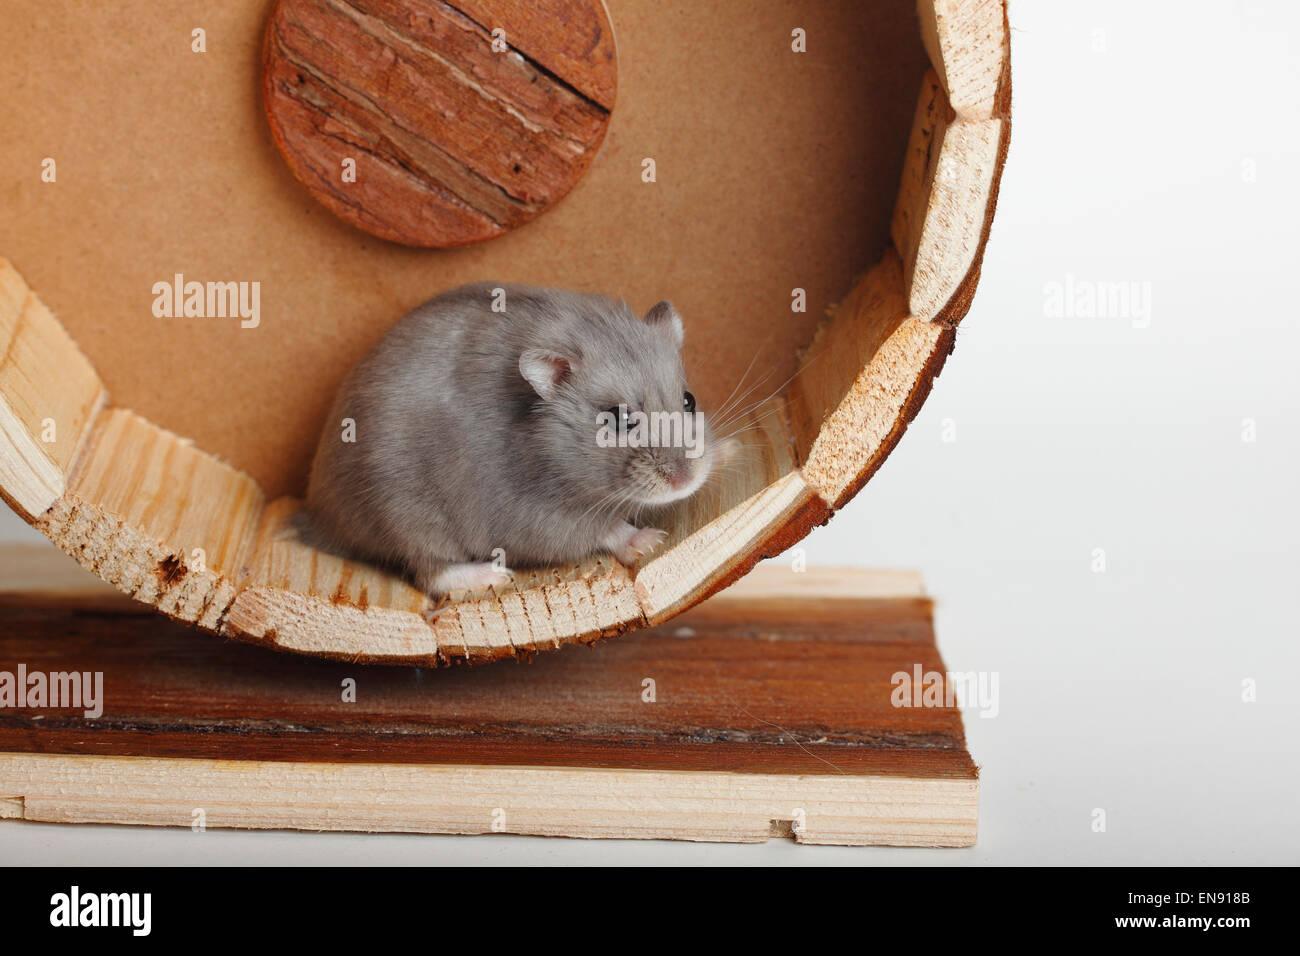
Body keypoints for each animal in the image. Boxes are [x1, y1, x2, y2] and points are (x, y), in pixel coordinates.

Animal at [305, 283, 715, 595]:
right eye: (618, 418)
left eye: (689, 400)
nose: (686, 481)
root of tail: (319, 515)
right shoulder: (540, 518)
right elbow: (606, 529)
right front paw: (651, 540)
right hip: (408, 520)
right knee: (431, 573)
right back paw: (492, 574)